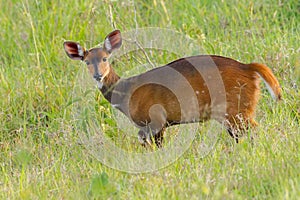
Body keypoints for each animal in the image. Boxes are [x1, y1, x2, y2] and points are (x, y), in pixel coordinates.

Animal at [63, 29, 282, 148]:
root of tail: (249, 68)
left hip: (237, 110)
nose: (98, 75)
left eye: (105, 58)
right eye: (86, 61)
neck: (127, 92)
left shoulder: (154, 120)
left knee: (254, 129)